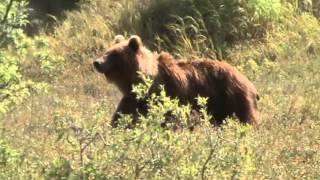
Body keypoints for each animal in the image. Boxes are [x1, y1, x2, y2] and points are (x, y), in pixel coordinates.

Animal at [92, 35, 260, 127]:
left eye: (114, 54)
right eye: (106, 51)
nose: (97, 62)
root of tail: (250, 83)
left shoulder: (166, 93)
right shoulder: (133, 99)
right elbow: (123, 115)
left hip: (232, 97)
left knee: (246, 119)